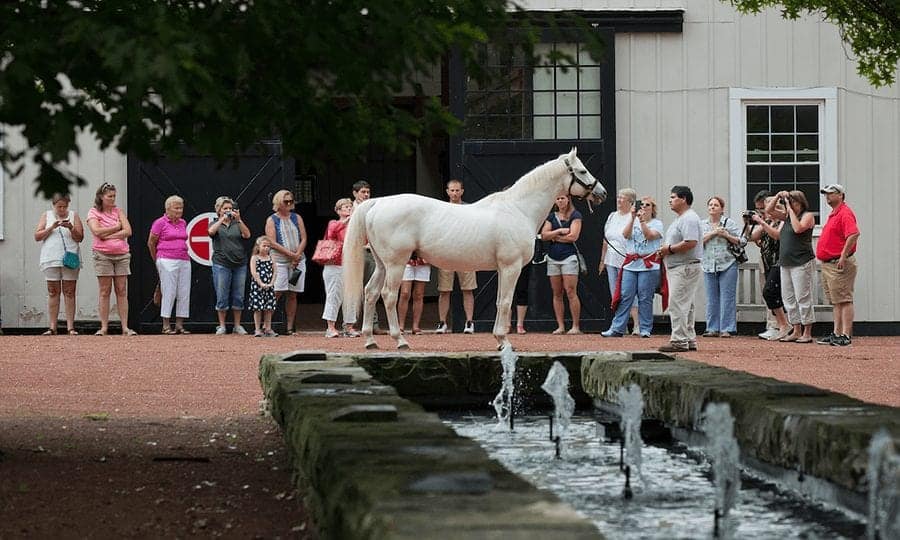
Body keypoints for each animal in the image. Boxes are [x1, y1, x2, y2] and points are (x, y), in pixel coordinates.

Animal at [342, 148, 608, 350]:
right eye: (582, 170)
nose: (602, 193)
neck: (518, 209)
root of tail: (378, 203)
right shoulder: (511, 267)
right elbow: (506, 302)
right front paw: (503, 341)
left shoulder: (502, 269)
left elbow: (501, 301)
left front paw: (499, 339)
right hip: (396, 265)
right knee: (388, 295)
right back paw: (400, 340)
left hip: (382, 265)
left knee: (371, 292)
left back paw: (370, 340)